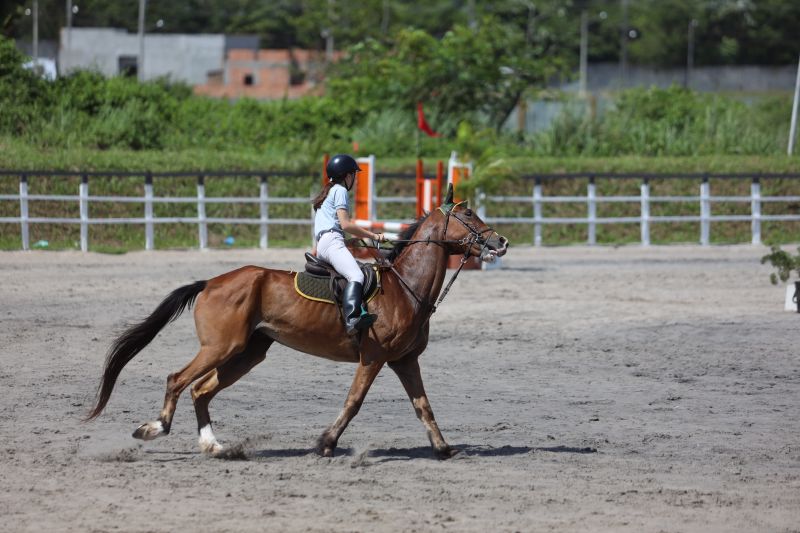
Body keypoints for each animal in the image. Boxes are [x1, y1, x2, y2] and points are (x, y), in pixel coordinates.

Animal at [87, 185, 510, 460]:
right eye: (468, 215)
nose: (501, 243)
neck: (405, 288)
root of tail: (210, 282)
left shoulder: (405, 360)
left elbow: (423, 406)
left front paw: (443, 448)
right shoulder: (373, 358)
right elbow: (354, 402)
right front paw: (325, 444)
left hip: (246, 353)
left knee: (201, 390)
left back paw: (213, 446)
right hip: (221, 347)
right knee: (178, 380)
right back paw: (154, 429)